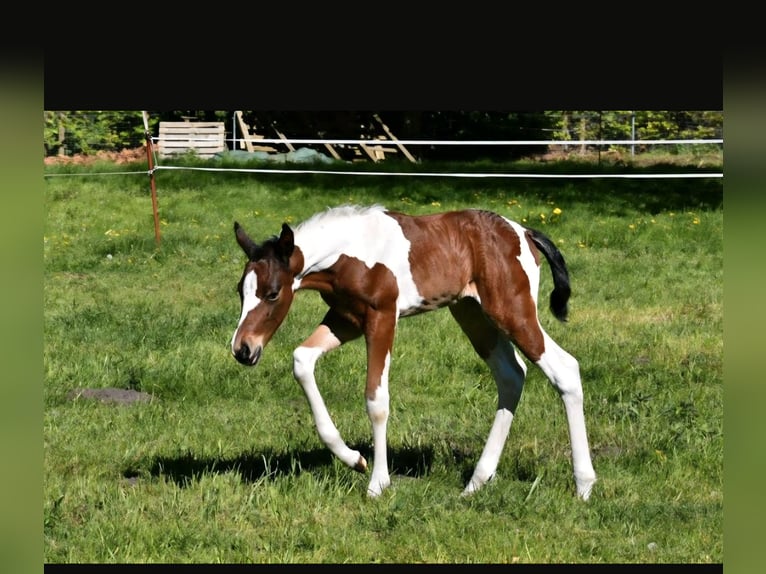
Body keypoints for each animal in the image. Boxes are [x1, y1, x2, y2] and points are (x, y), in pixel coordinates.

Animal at [230, 204, 597, 500]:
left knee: (564, 369)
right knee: (511, 375)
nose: (243, 349)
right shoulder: (345, 319)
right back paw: (476, 482)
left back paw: (583, 486)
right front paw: (353, 459)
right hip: (471, 312)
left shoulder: (381, 318)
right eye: (240, 290)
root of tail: (524, 233)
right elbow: (302, 360)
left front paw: (378, 483)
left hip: (512, 311)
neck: (349, 251)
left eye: (273, 293)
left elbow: (376, 400)